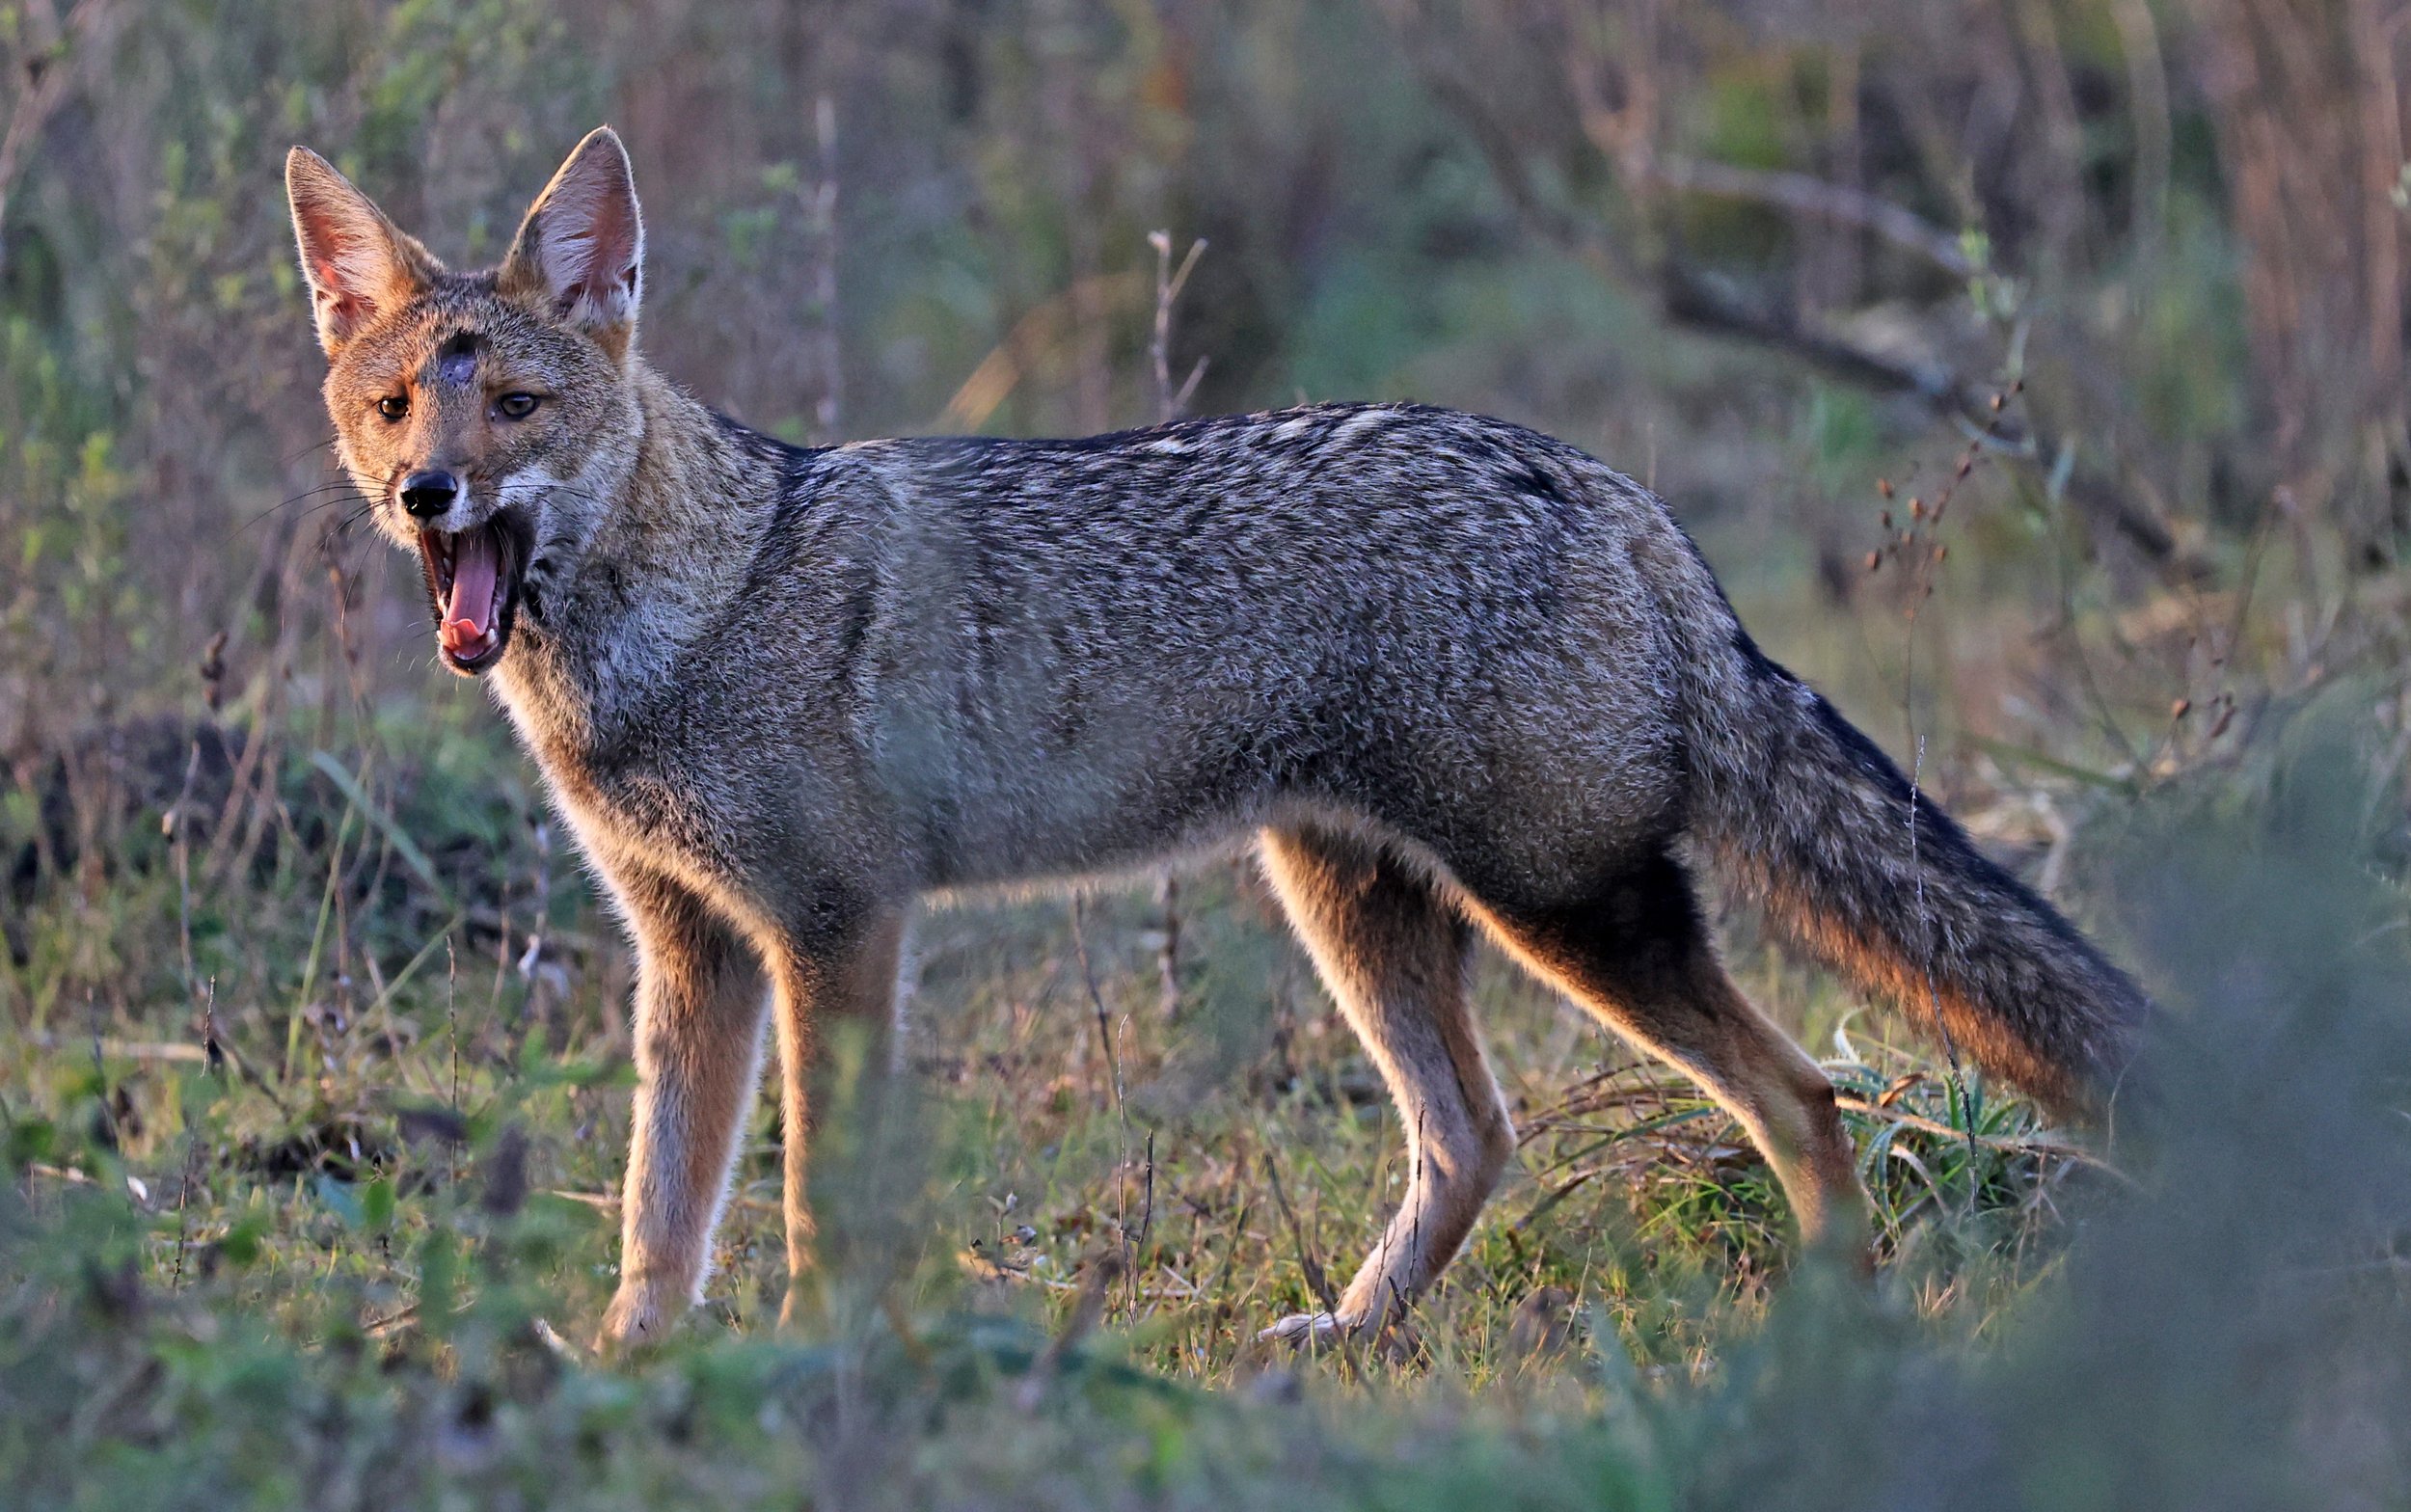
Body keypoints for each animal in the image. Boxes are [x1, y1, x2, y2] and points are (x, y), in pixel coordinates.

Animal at [284, 127, 2147, 1348]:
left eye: (516, 405)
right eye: (397, 404)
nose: (423, 493)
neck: (690, 612)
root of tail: (1600, 481)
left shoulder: (834, 931)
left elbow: (812, 1200)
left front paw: (813, 1364)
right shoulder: (693, 951)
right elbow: (658, 1215)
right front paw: (634, 1377)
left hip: (1567, 910)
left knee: (1803, 1097)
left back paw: (1834, 1333)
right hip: (1352, 903)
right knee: (1476, 1137)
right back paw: (1350, 1338)